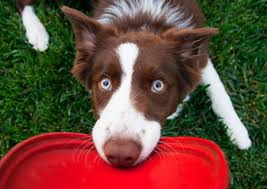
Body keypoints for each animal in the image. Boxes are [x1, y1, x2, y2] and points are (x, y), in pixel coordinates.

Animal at [15, 0, 252, 168]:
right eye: (105, 83)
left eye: (158, 85)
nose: (120, 155)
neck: (142, 23)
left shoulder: (199, 57)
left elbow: (220, 91)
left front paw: (238, 132)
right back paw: (37, 33)